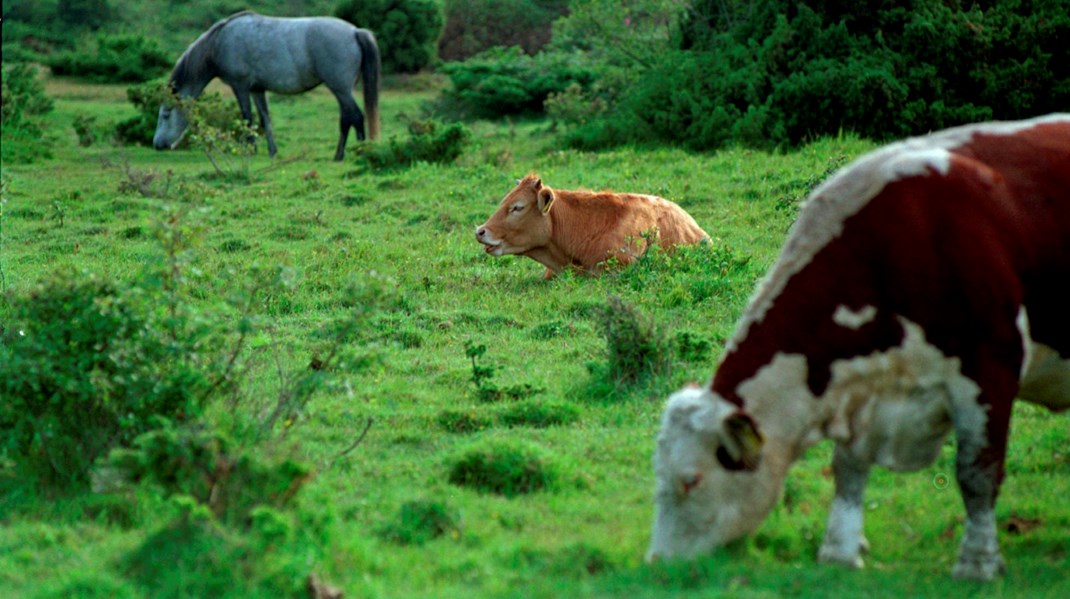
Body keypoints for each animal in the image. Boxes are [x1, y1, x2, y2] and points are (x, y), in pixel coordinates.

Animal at [154, 11, 380, 161]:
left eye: (165, 115)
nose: (157, 144)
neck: (219, 42)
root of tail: (355, 32)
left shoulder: (240, 86)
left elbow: (247, 118)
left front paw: (250, 150)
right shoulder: (257, 89)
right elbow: (264, 119)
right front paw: (272, 151)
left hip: (340, 89)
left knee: (355, 117)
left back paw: (358, 152)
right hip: (341, 90)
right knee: (347, 118)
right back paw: (342, 154)